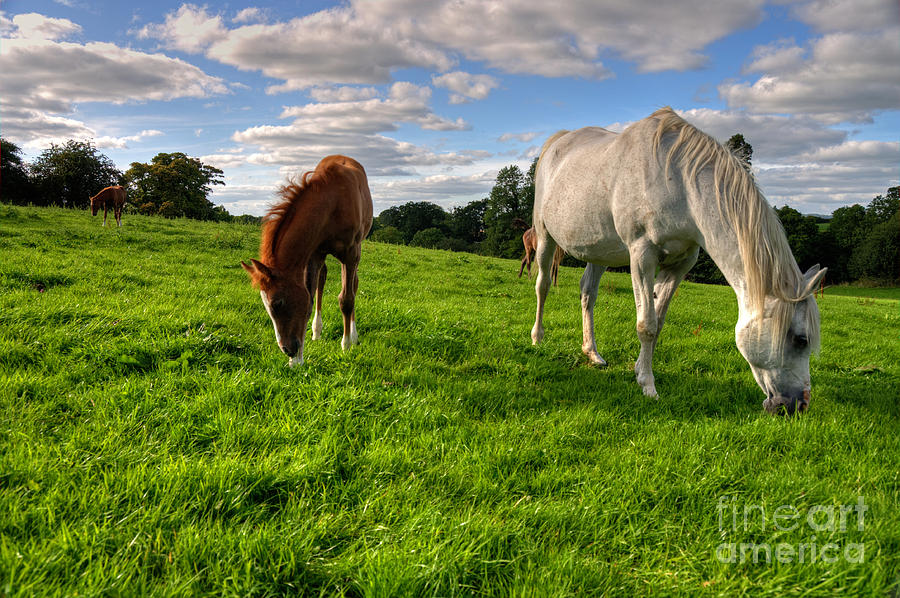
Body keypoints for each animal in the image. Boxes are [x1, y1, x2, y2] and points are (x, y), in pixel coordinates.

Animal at [239, 156, 372, 366]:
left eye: (278, 303)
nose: (288, 349)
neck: (333, 203)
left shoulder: (351, 253)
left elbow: (347, 299)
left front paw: (346, 345)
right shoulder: (315, 253)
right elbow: (309, 298)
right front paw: (297, 361)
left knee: (353, 286)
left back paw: (353, 335)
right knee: (321, 282)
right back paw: (317, 332)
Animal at [532, 108, 828, 414]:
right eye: (801, 339)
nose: (799, 404)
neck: (680, 183)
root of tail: (558, 141)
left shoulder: (680, 263)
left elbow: (659, 322)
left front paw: (640, 370)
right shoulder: (642, 255)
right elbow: (646, 325)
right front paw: (648, 386)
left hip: (598, 251)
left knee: (588, 294)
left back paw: (592, 352)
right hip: (544, 235)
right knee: (543, 284)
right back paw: (538, 338)